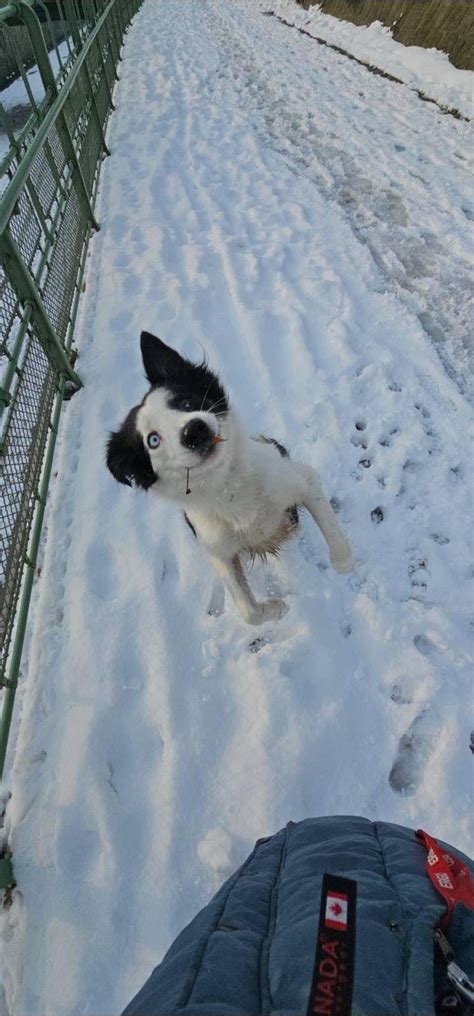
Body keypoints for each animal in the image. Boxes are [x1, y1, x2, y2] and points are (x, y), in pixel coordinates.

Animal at [106, 329, 353, 621]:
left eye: (185, 402)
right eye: (152, 440)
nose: (195, 431)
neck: (227, 485)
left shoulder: (301, 480)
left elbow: (334, 535)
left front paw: (343, 563)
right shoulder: (219, 551)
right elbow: (249, 612)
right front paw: (277, 608)